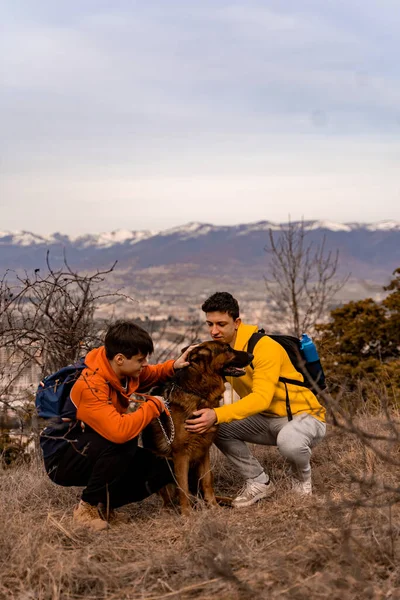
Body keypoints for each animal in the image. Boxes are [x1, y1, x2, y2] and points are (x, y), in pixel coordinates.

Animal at [142, 340, 252, 512]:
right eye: (227, 349)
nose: (252, 355)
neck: (197, 392)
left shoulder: (204, 450)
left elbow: (207, 481)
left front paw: (214, 507)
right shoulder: (181, 455)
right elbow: (183, 487)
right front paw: (187, 514)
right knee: (170, 499)